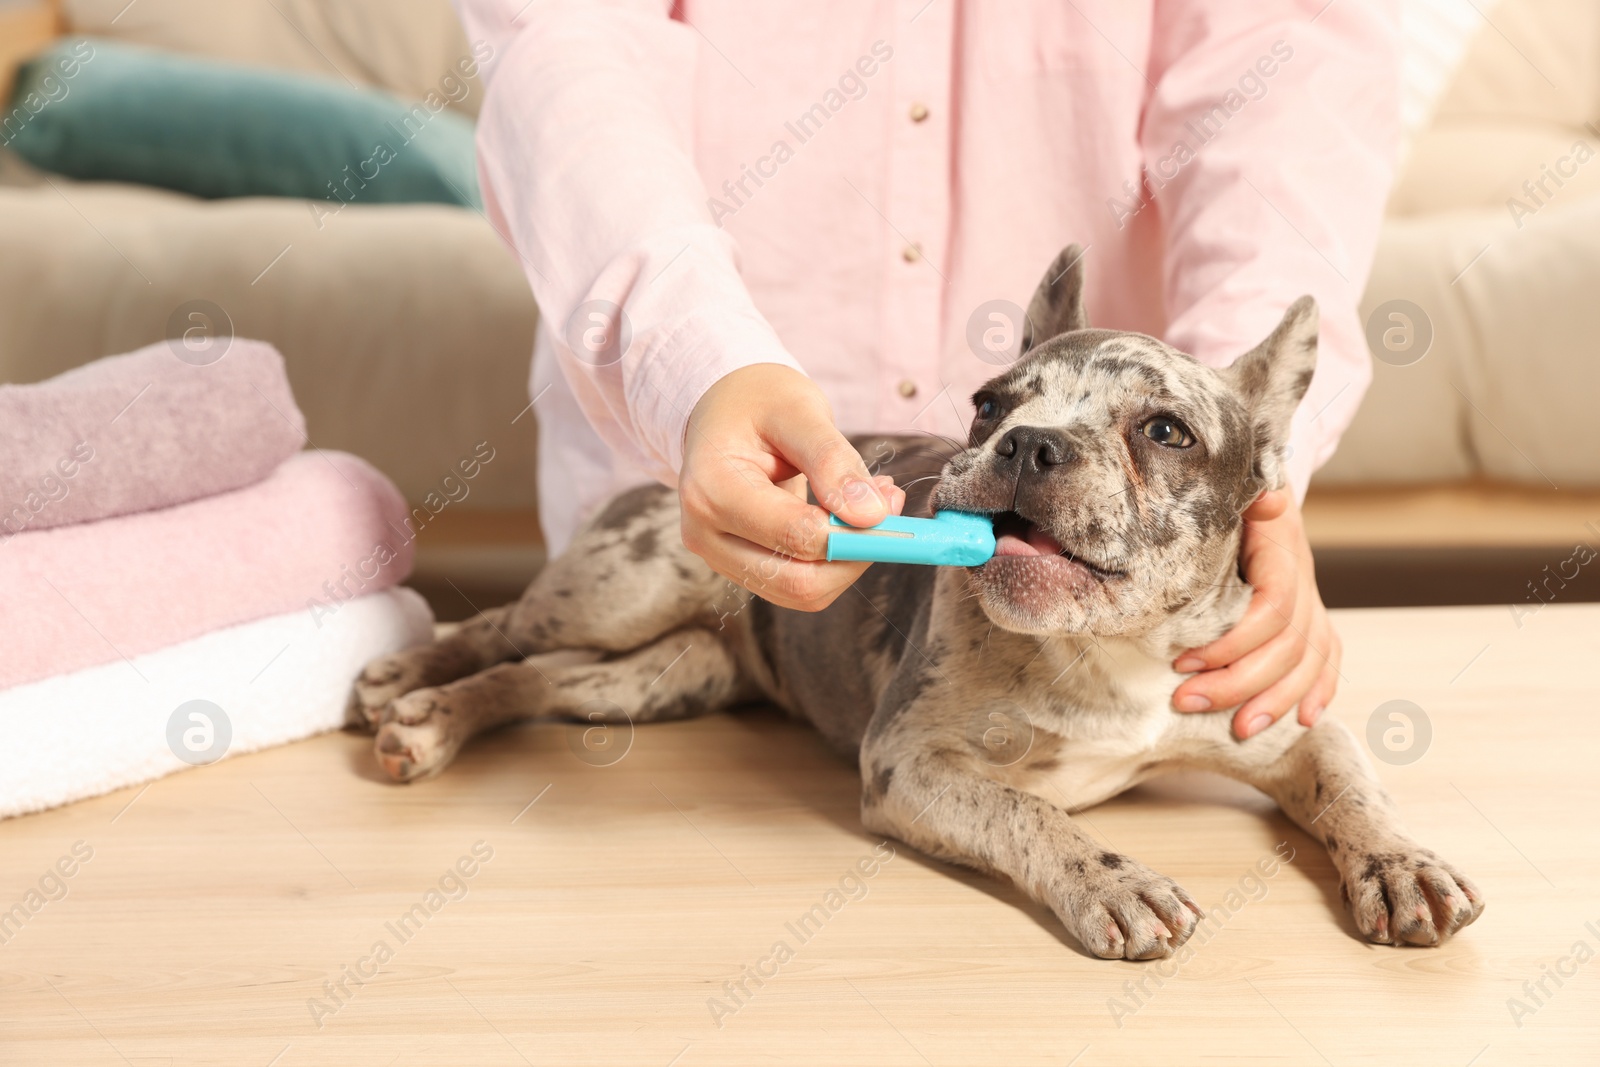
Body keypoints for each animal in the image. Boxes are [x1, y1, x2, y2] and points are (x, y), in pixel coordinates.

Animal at [353, 247, 1484, 959]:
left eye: (1164, 431)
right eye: (989, 404)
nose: (1028, 442)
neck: (1107, 648)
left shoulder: (1284, 720)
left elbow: (1351, 781)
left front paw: (1402, 861)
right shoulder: (913, 761)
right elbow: (1027, 806)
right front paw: (1109, 877)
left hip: (663, 678)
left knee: (539, 678)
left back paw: (432, 721)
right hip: (632, 583)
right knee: (502, 628)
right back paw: (407, 680)